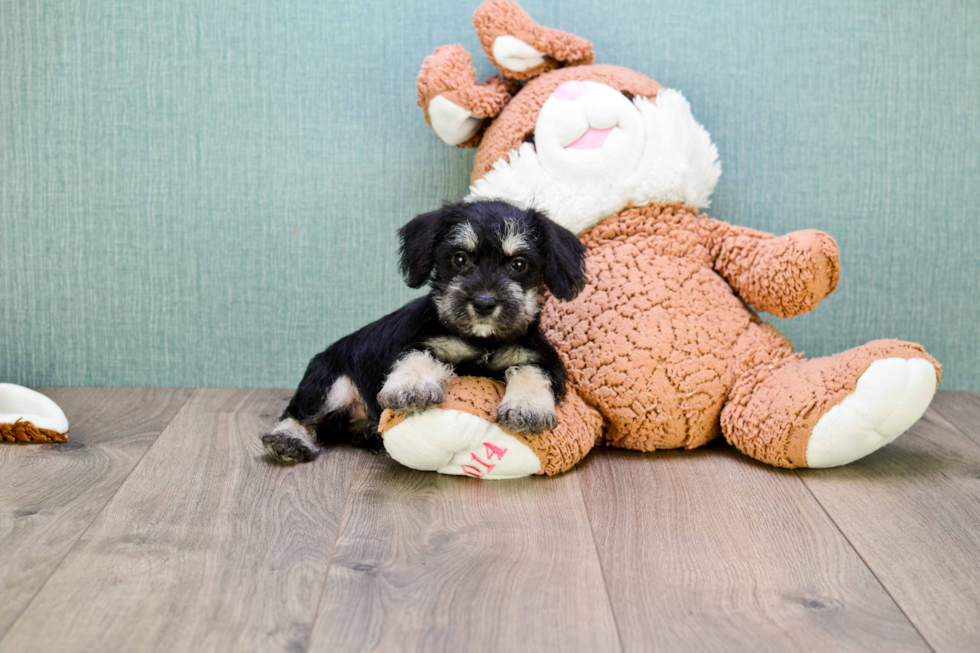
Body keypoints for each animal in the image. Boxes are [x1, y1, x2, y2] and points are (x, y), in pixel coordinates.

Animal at [260, 199, 584, 464]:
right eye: (460, 259)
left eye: (518, 264)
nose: (484, 302)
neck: (481, 340)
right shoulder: (419, 342)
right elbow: (417, 357)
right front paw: (412, 388)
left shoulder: (544, 360)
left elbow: (530, 372)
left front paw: (527, 407)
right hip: (329, 381)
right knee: (299, 414)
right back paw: (288, 440)